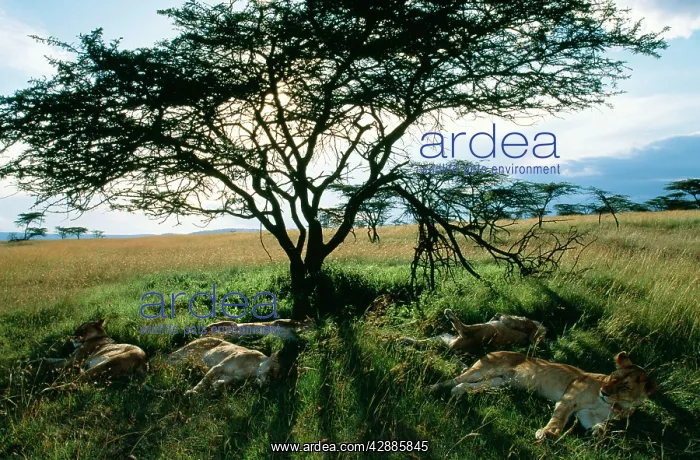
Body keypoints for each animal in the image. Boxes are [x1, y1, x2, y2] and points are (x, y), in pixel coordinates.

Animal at [427, 351, 657, 439]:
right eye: (612, 377)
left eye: (625, 387)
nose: (604, 391)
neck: (613, 405)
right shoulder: (570, 396)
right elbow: (559, 419)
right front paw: (547, 433)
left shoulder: (587, 414)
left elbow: (599, 426)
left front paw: (598, 432)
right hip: (487, 369)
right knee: (456, 378)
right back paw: (432, 388)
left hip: (500, 382)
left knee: (468, 385)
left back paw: (457, 392)